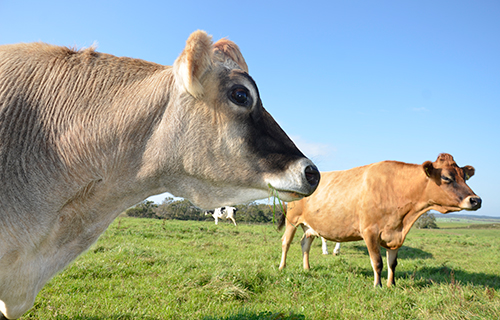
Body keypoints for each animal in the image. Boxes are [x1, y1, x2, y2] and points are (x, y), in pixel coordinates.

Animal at [278, 153, 480, 288]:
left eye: (465, 177)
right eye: (446, 177)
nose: (476, 200)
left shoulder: (396, 234)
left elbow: (392, 263)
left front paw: (392, 284)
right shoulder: (370, 232)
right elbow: (377, 262)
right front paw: (378, 285)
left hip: (310, 227)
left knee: (305, 244)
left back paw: (307, 268)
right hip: (292, 221)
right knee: (286, 243)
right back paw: (282, 267)